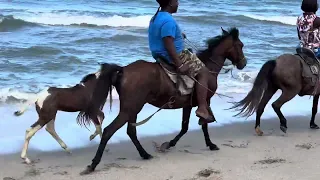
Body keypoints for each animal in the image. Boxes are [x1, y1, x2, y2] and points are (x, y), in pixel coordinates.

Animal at [78, 27, 248, 175]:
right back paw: (94, 164)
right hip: (130, 108)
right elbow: (203, 124)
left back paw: (144, 154)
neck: (208, 66)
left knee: (131, 131)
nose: (243, 63)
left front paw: (169, 144)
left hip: (133, 108)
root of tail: (123, 70)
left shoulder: (188, 105)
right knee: (109, 131)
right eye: (240, 45)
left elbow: (185, 126)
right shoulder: (205, 102)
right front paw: (210, 144)